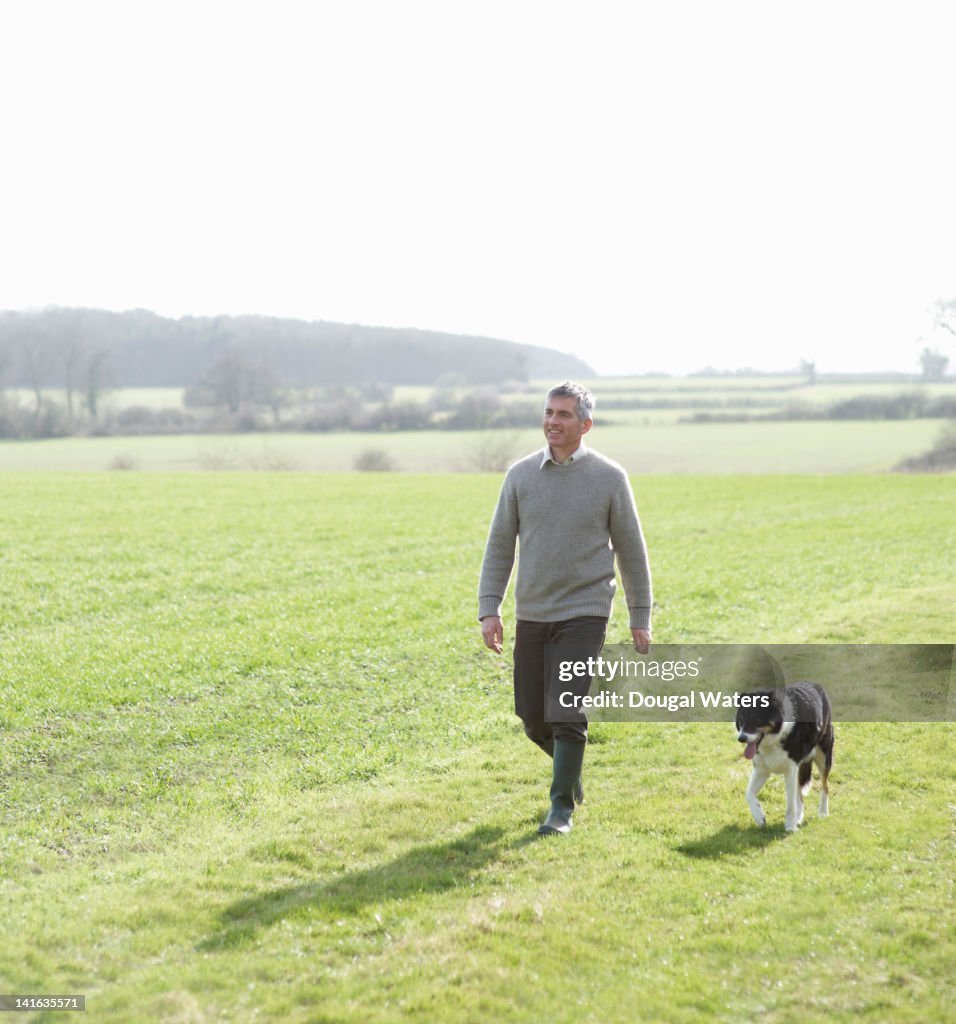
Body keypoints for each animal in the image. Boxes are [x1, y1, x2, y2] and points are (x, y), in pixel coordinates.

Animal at [736, 679, 835, 831]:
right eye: (741, 719)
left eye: (756, 719)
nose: (741, 738)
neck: (775, 738)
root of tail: (814, 684)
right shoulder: (762, 769)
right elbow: (748, 793)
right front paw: (759, 817)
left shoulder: (790, 770)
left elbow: (790, 804)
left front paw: (789, 827)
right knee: (800, 795)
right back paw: (799, 818)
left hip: (823, 756)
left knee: (824, 786)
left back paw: (823, 813)